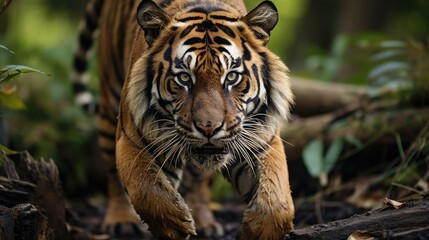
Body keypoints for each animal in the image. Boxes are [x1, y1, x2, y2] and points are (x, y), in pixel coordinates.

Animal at [72, 0, 294, 238]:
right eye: (184, 78)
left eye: (232, 76)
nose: (209, 128)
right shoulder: (132, 142)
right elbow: (147, 189)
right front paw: (174, 223)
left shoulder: (261, 141)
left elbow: (276, 199)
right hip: (109, 105)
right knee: (113, 174)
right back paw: (122, 220)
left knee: (198, 180)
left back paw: (205, 223)